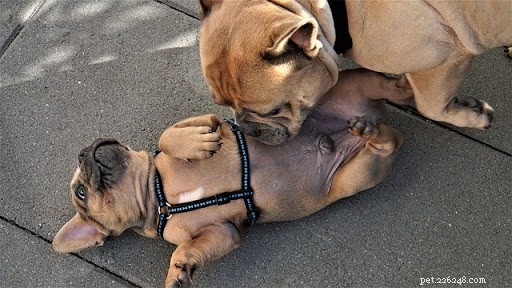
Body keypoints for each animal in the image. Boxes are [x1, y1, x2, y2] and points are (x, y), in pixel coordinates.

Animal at [54, 68, 410, 286]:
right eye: (81, 192)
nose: (83, 151)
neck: (158, 195)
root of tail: (376, 115)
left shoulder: (206, 121)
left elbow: (169, 137)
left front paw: (195, 145)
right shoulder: (222, 232)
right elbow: (187, 249)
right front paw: (177, 271)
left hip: (342, 100)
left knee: (384, 97)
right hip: (355, 173)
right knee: (390, 128)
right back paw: (375, 123)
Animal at [200, 0, 512, 144]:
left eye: (272, 111)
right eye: (223, 103)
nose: (247, 129)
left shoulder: (449, 53)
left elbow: (430, 105)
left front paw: (472, 115)